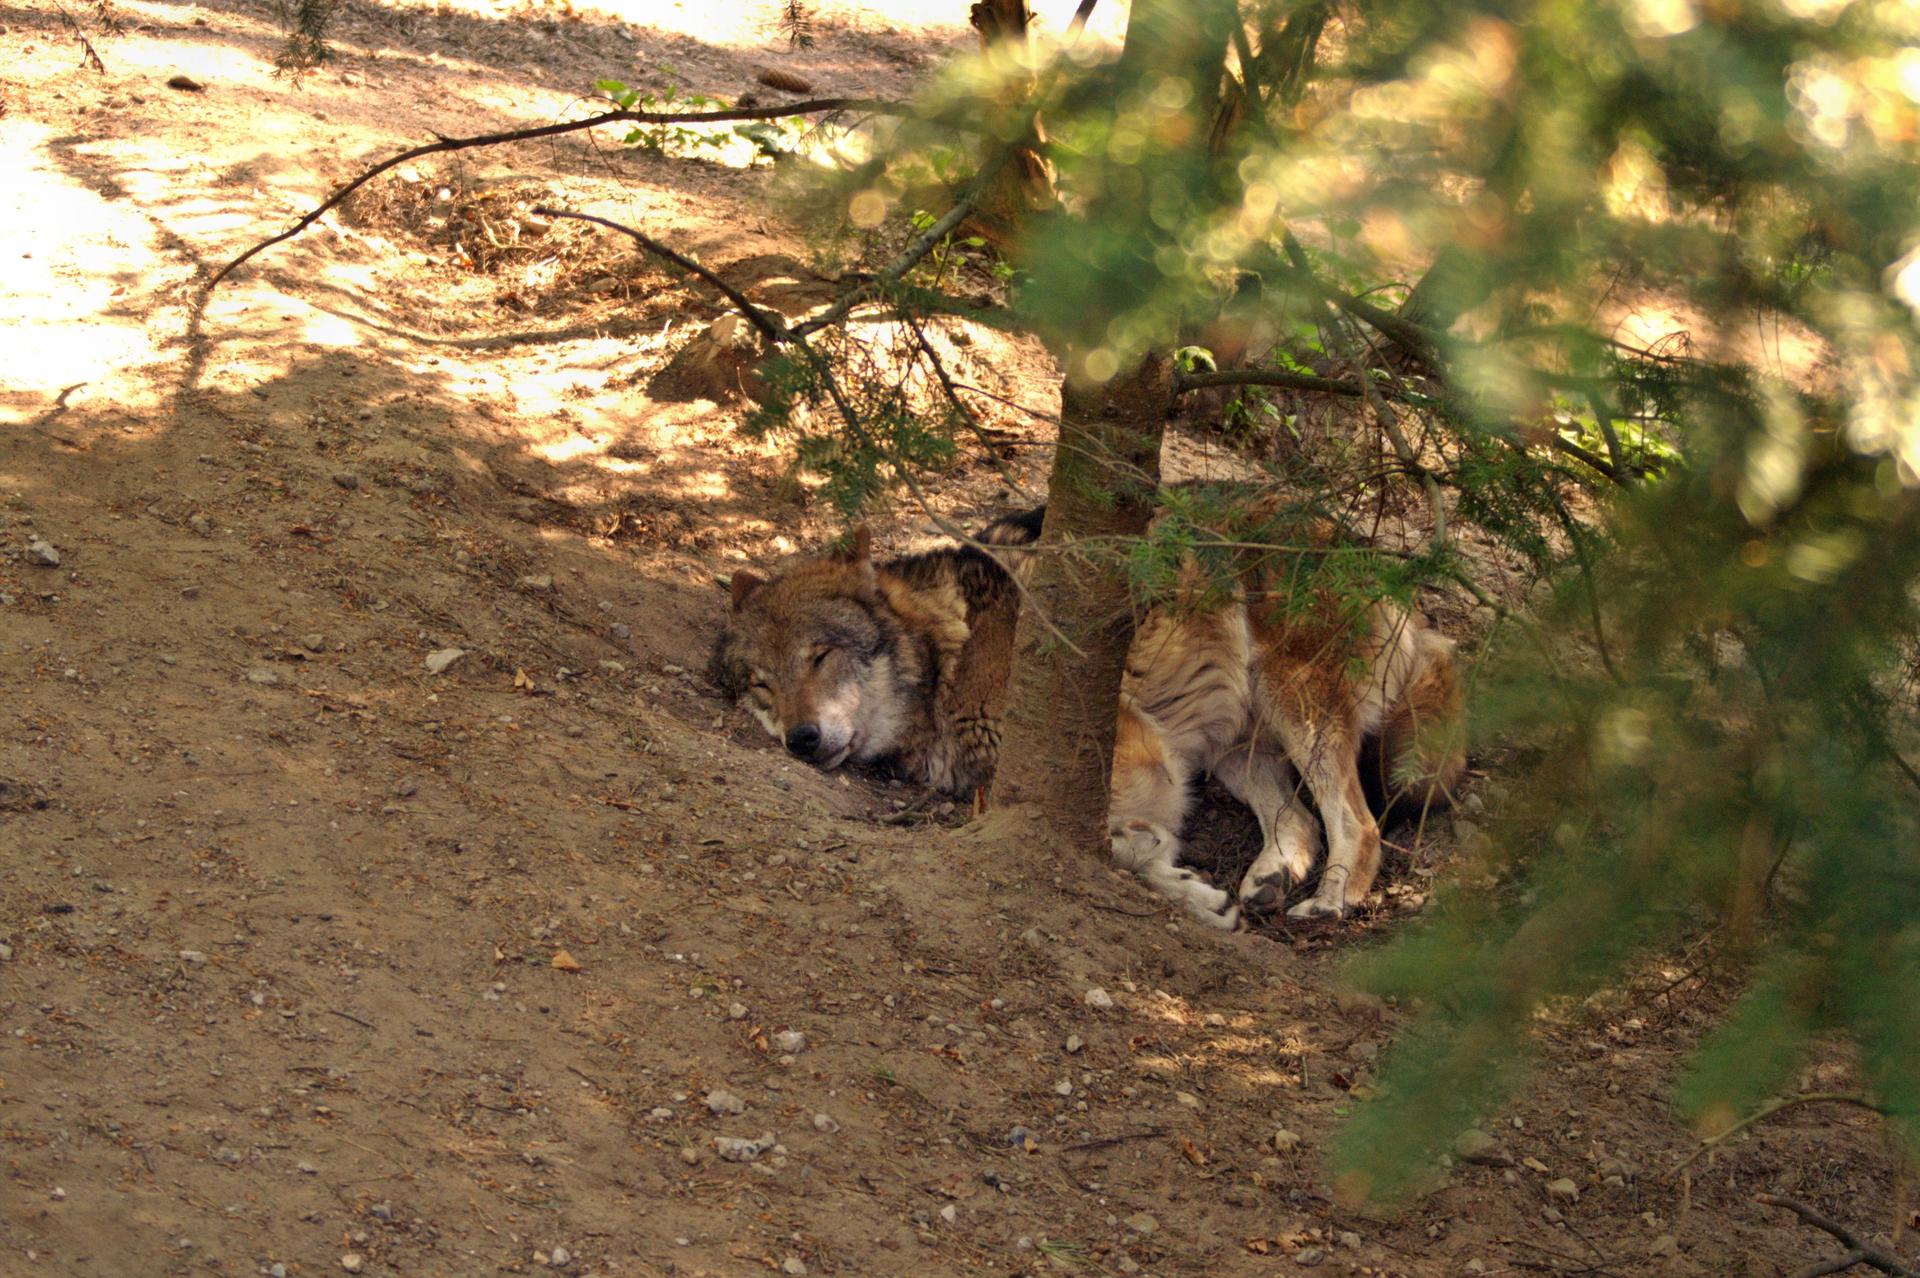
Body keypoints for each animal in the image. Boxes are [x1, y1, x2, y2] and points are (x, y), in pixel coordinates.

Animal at [714, 506, 1459, 924]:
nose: (802, 741)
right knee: (1301, 821)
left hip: (1292, 700)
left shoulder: (1133, 747)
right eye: (761, 685)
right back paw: (1267, 882)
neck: (950, 648)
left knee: (1358, 823)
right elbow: (1123, 845)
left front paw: (1173, 875)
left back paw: (1331, 903)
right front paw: (1195, 892)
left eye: (820, 656)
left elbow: (1110, 836)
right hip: (1236, 746)